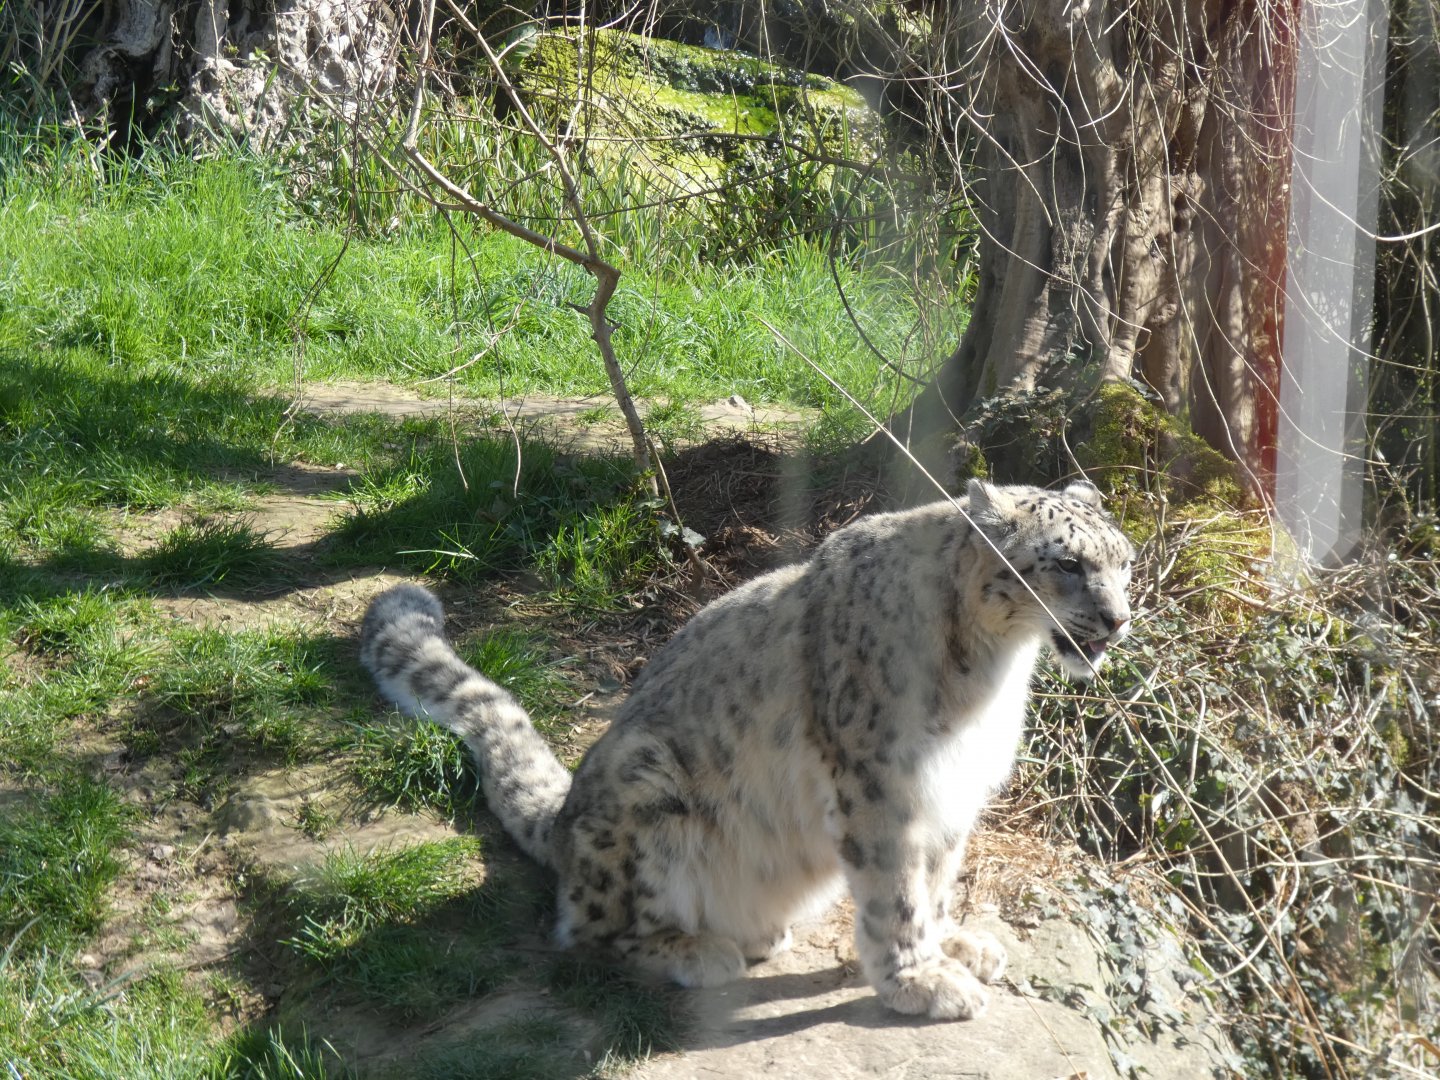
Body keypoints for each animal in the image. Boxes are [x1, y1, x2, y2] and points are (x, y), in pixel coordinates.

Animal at [360, 479, 1135, 1020]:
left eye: (1125, 562)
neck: (994, 669)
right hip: (645, 782)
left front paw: (954, 946)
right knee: (588, 931)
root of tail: (565, 818)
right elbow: (895, 893)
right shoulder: (882, 784)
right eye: (1067, 562)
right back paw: (701, 951)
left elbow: (937, 879)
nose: (1119, 619)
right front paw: (919, 981)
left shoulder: (952, 788)